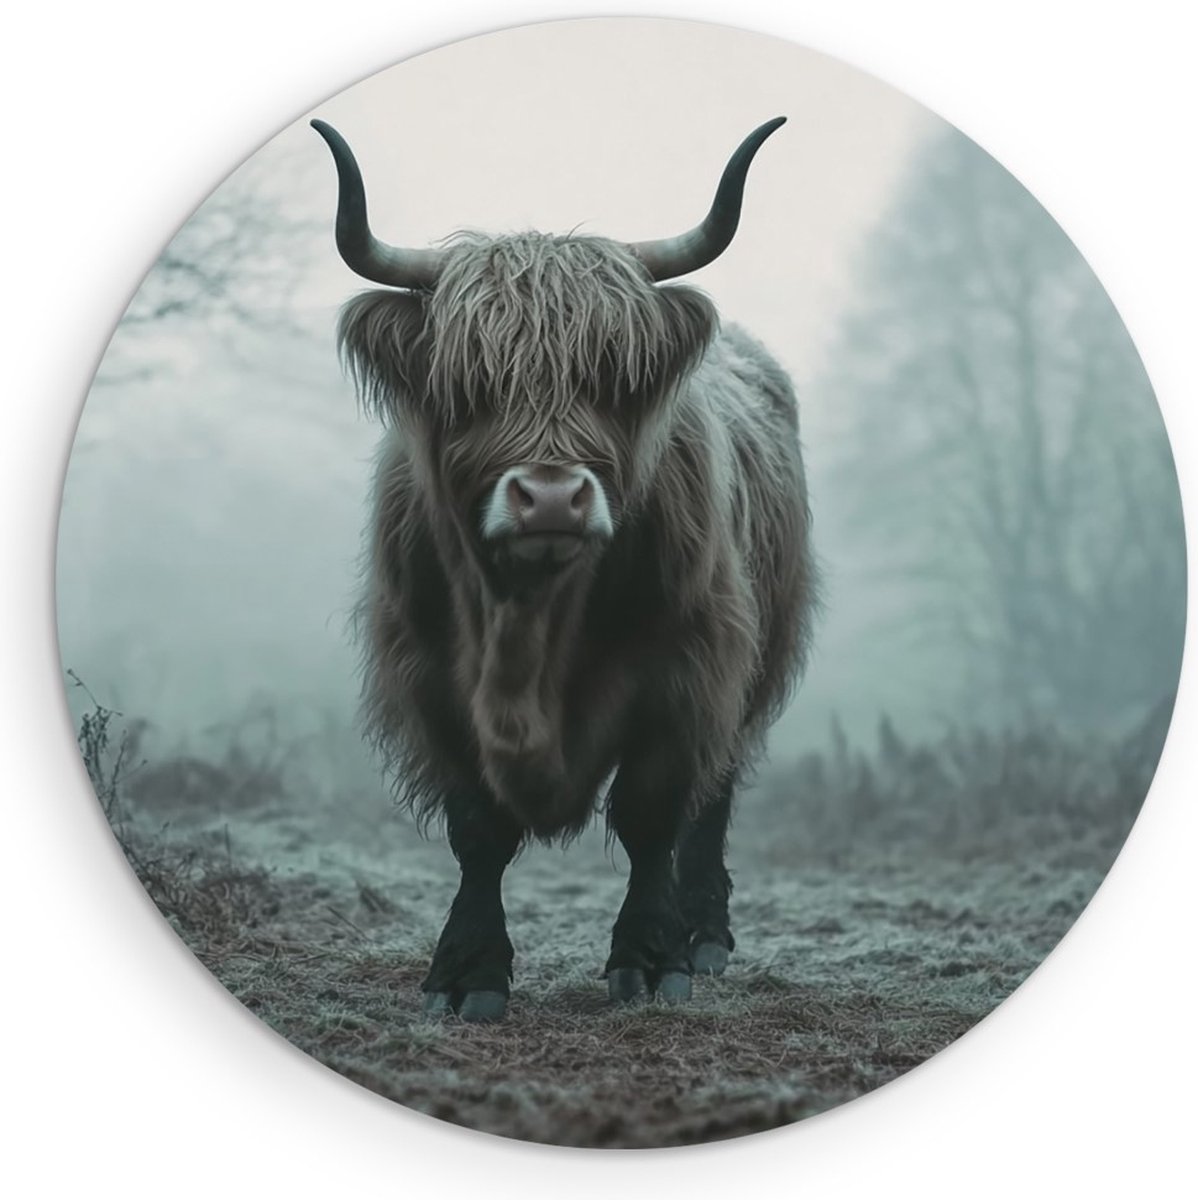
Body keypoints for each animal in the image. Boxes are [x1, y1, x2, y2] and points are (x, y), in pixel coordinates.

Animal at [312, 117, 817, 1021]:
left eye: (614, 375)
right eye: (469, 381)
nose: (550, 498)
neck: (531, 619)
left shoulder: (688, 668)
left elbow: (653, 814)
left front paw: (651, 960)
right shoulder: (429, 675)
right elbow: (478, 830)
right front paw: (467, 972)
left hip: (751, 663)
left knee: (713, 797)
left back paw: (708, 935)